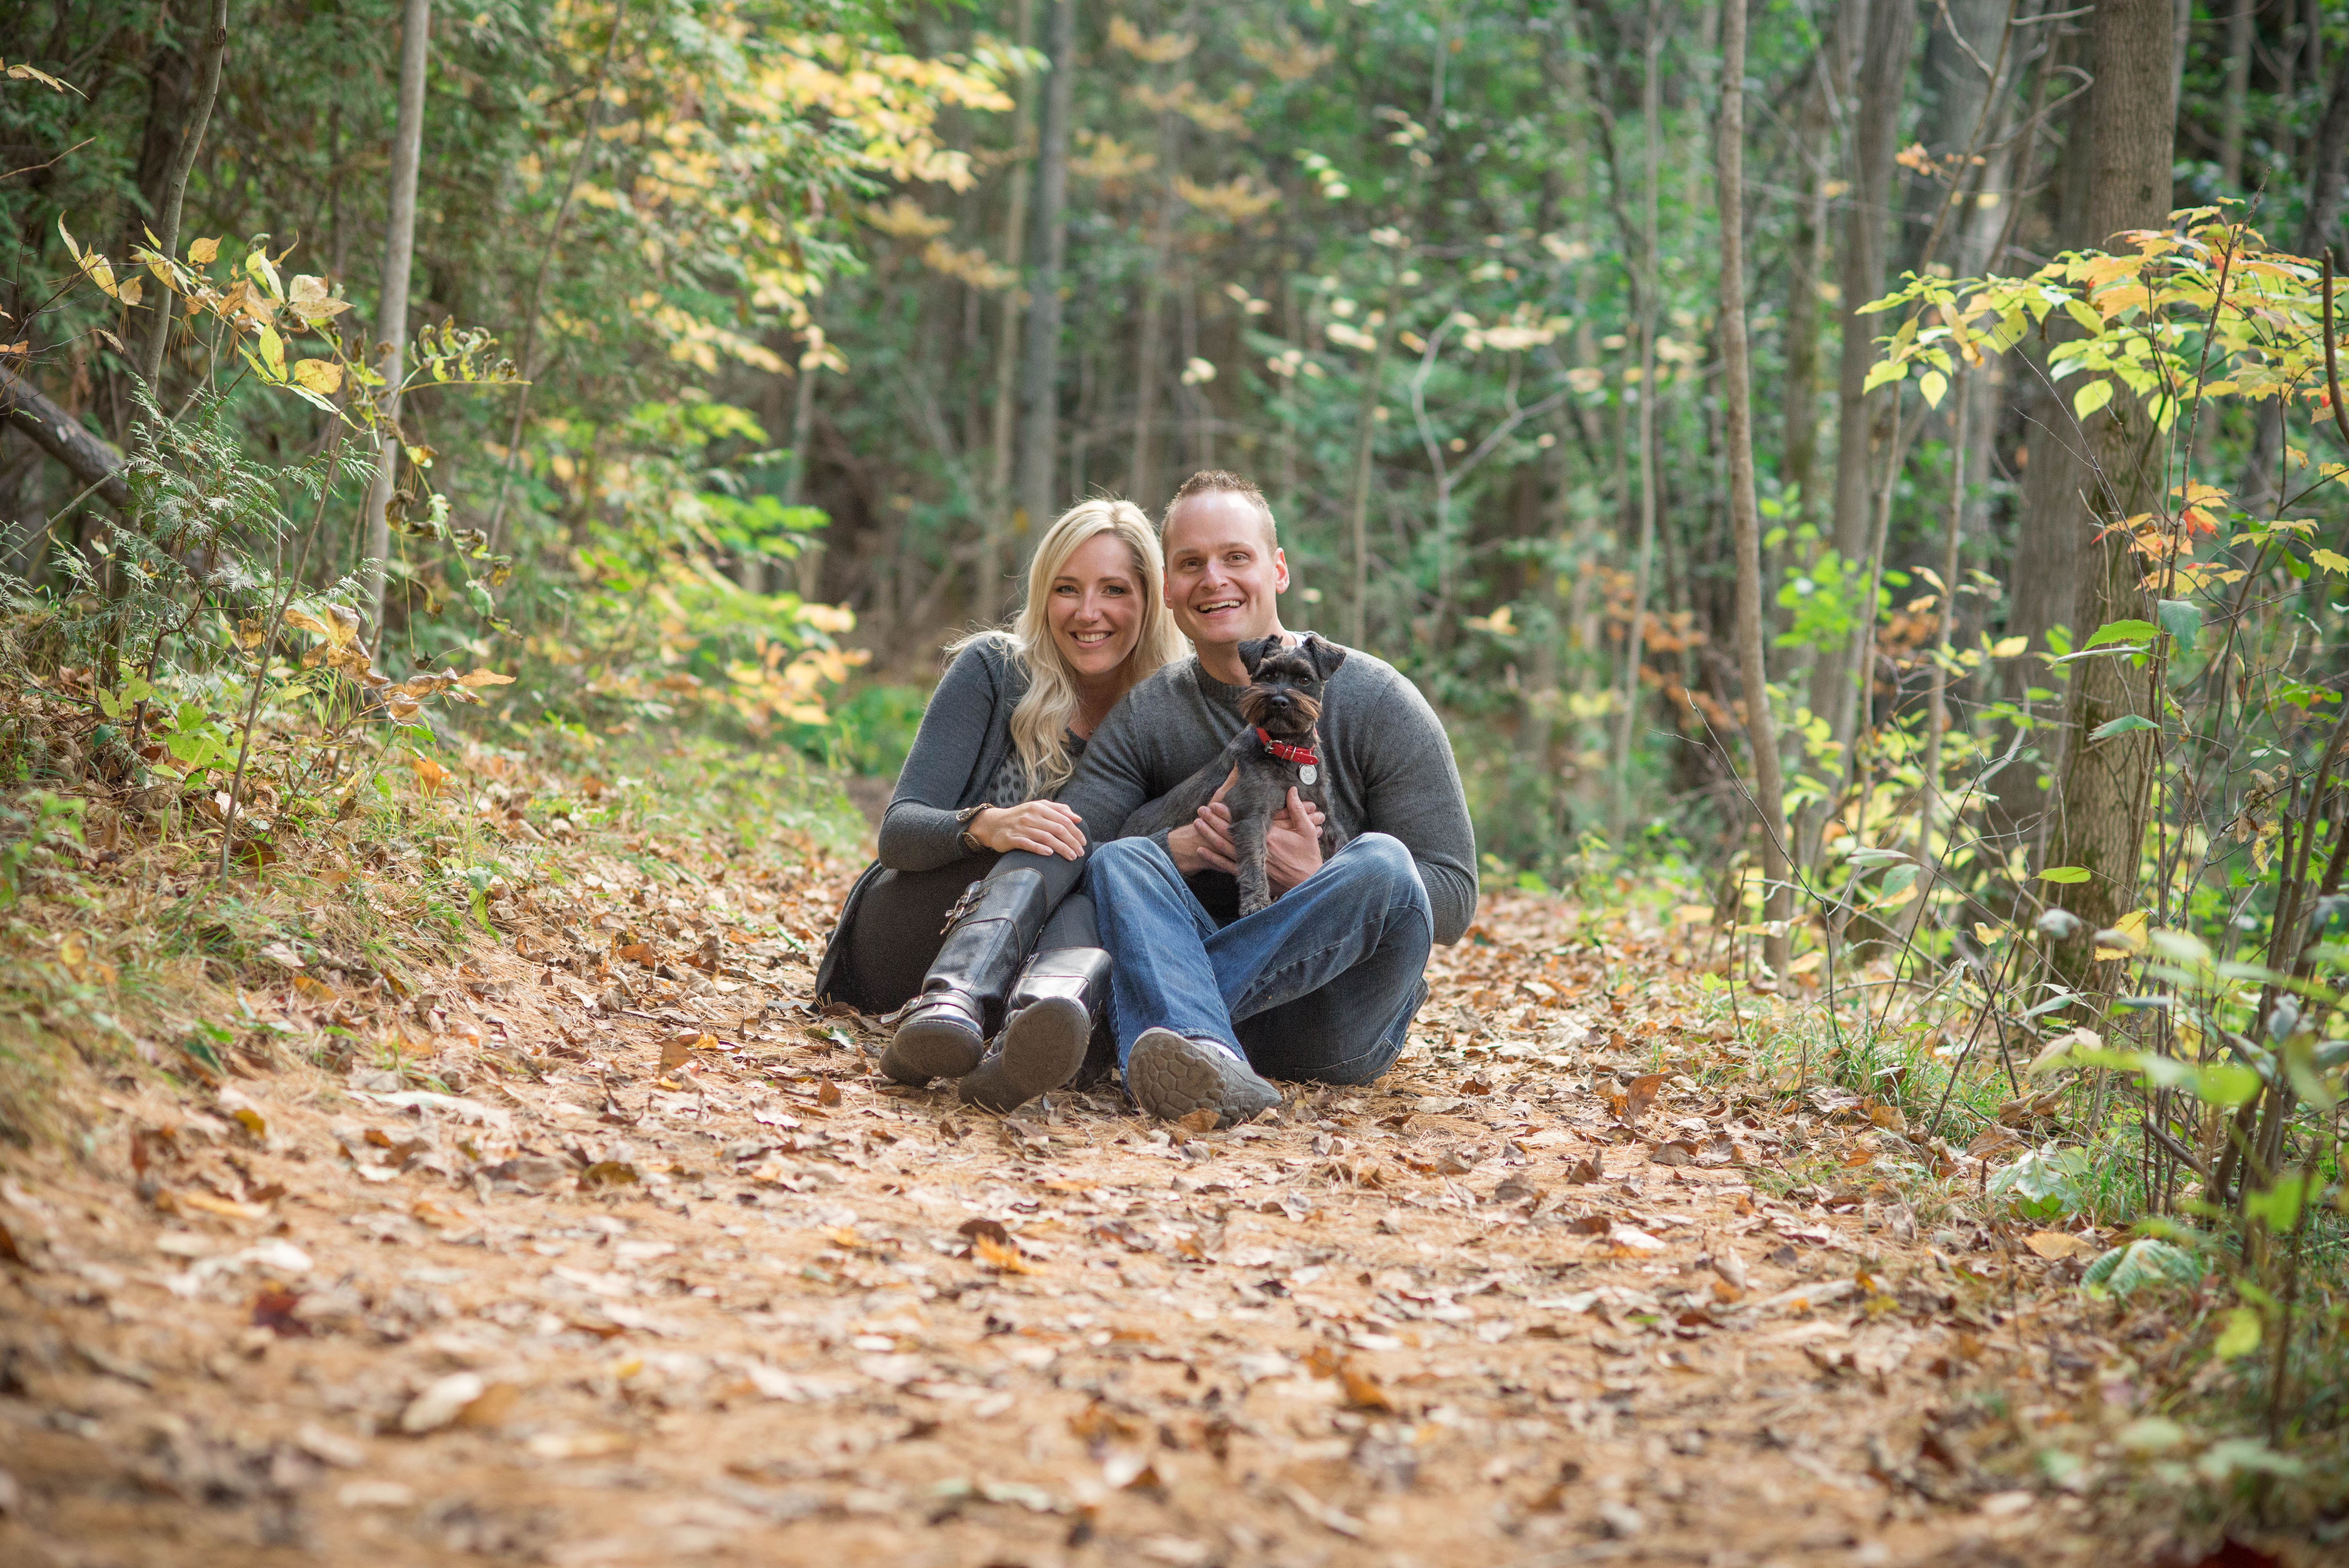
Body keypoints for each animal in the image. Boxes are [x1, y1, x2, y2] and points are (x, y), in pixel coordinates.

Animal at [1127, 629, 1353, 911]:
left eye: (1304, 679)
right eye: (1267, 676)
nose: (1279, 701)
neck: (1286, 749)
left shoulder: (1326, 816)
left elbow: (1341, 845)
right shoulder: (1250, 816)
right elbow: (1255, 861)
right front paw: (1256, 902)